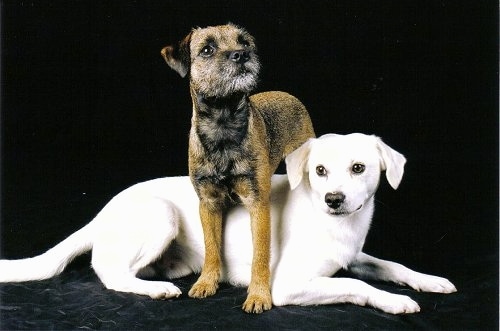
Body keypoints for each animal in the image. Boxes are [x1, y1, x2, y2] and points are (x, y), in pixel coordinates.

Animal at [0, 134, 456, 314]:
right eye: (320, 171)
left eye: (359, 168)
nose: (334, 200)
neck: (336, 225)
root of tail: (101, 212)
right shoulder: (289, 285)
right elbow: (356, 285)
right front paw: (393, 301)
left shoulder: (356, 254)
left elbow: (389, 266)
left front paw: (428, 280)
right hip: (161, 214)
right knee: (109, 273)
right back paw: (155, 290)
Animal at [162, 23, 314, 314]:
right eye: (207, 50)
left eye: (244, 43)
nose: (242, 55)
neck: (223, 125)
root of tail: (289, 95)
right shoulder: (208, 203)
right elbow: (211, 247)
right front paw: (206, 281)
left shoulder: (258, 204)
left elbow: (260, 255)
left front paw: (258, 295)